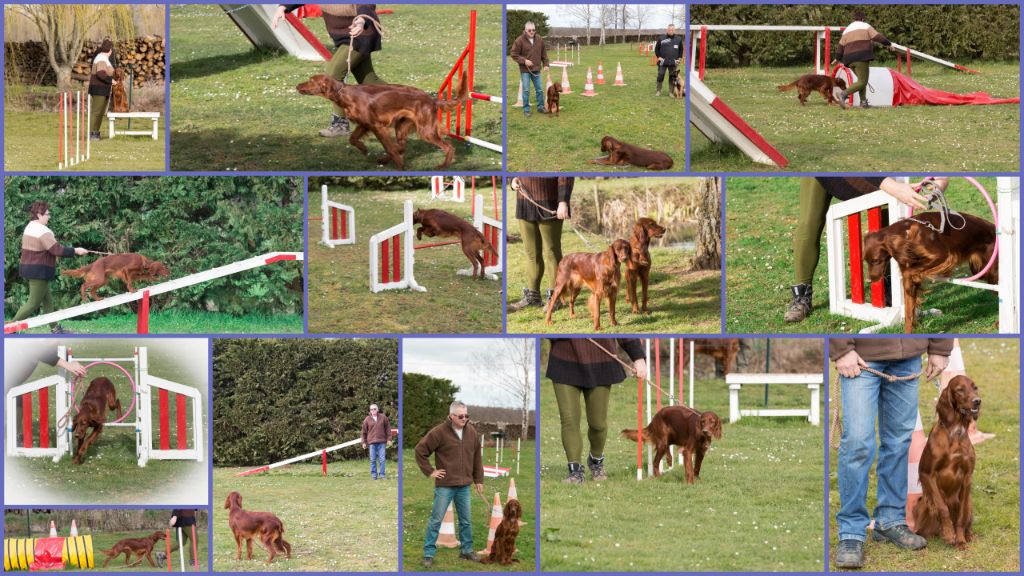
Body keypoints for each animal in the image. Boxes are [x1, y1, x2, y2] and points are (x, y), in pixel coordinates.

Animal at [864, 211, 999, 332]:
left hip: (992, 270)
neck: (907, 235)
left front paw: (918, 276)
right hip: (980, 270)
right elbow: (908, 311)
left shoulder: (941, 256)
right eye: (865, 260)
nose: (869, 280)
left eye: (876, 260)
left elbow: (910, 272)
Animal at [917, 375, 978, 549]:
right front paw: (950, 534)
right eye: (960, 389)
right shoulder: (926, 474)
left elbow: (961, 516)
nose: (977, 401)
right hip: (923, 502)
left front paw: (960, 540)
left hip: (970, 502)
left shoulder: (967, 478)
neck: (955, 433)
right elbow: (943, 508)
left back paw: (968, 535)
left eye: (975, 387)